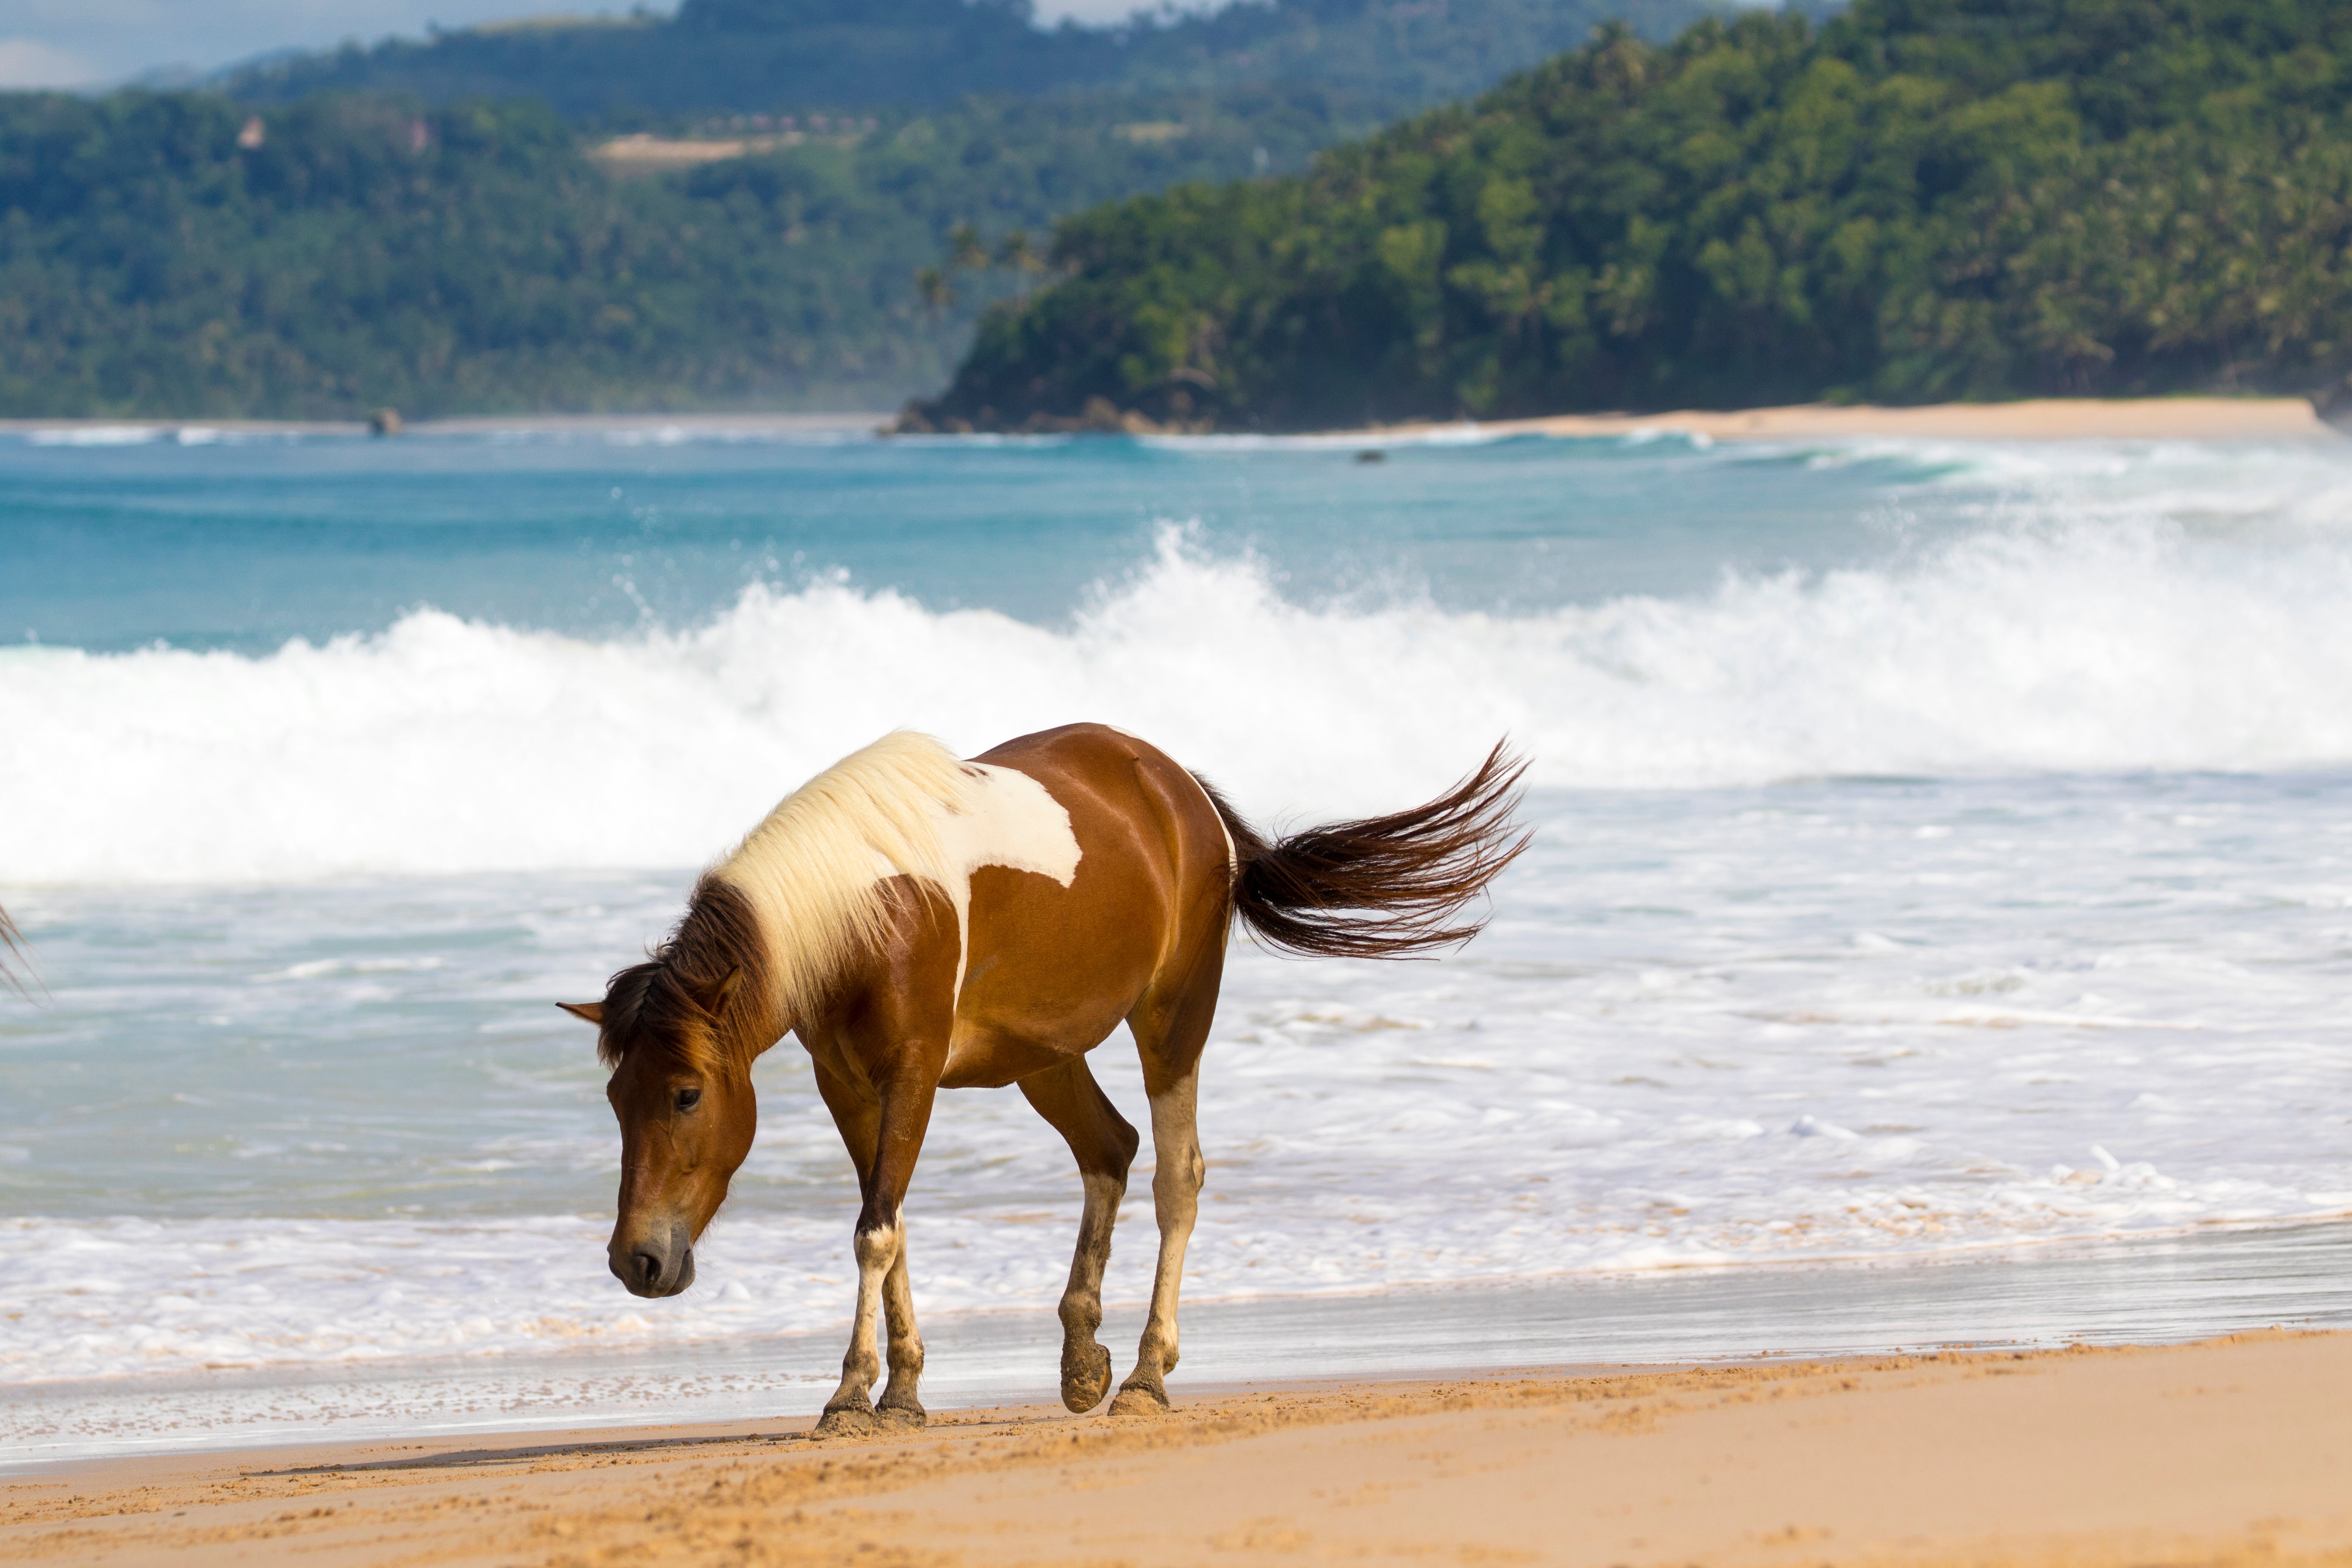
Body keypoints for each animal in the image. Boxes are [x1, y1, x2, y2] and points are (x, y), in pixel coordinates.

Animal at [562, 724, 1533, 1439]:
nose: (637, 1261)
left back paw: (1144, 1373)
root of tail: (1181, 791)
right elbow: (891, 1226)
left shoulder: (911, 1073)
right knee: (1110, 1149)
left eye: (687, 1093)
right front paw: (901, 1393)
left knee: (1176, 1176)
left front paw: (852, 1394)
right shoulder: (847, 1083)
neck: (866, 905)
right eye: (615, 1100)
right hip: (1046, 1055)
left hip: (1172, 1023)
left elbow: (875, 1232)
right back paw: (1082, 1359)